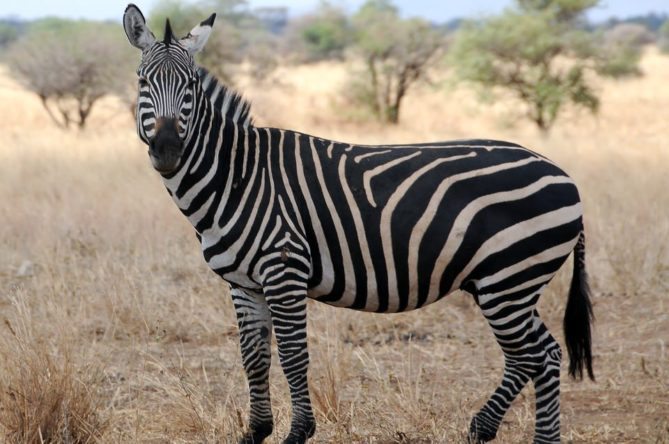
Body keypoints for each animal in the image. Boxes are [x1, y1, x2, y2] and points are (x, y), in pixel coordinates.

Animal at [123, 4, 594, 443]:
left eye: (191, 85)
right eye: (142, 83)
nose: (167, 149)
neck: (237, 176)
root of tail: (565, 175)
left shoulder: (284, 269)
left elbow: (293, 355)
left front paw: (298, 432)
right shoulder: (244, 283)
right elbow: (254, 358)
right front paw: (256, 432)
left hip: (509, 279)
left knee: (534, 356)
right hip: (505, 282)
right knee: (541, 354)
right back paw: (502, 429)